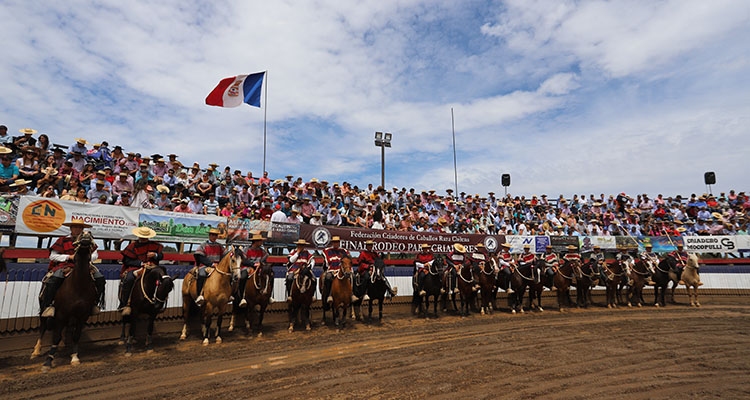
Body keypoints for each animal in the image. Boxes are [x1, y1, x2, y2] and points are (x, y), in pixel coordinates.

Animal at [31, 231, 98, 372]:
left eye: (90, 234)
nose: (86, 233)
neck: (78, 286)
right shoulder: (61, 314)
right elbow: (56, 337)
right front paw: (48, 362)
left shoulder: (82, 315)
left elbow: (76, 336)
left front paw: (75, 357)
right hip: (43, 307)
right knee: (43, 327)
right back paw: (36, 351)